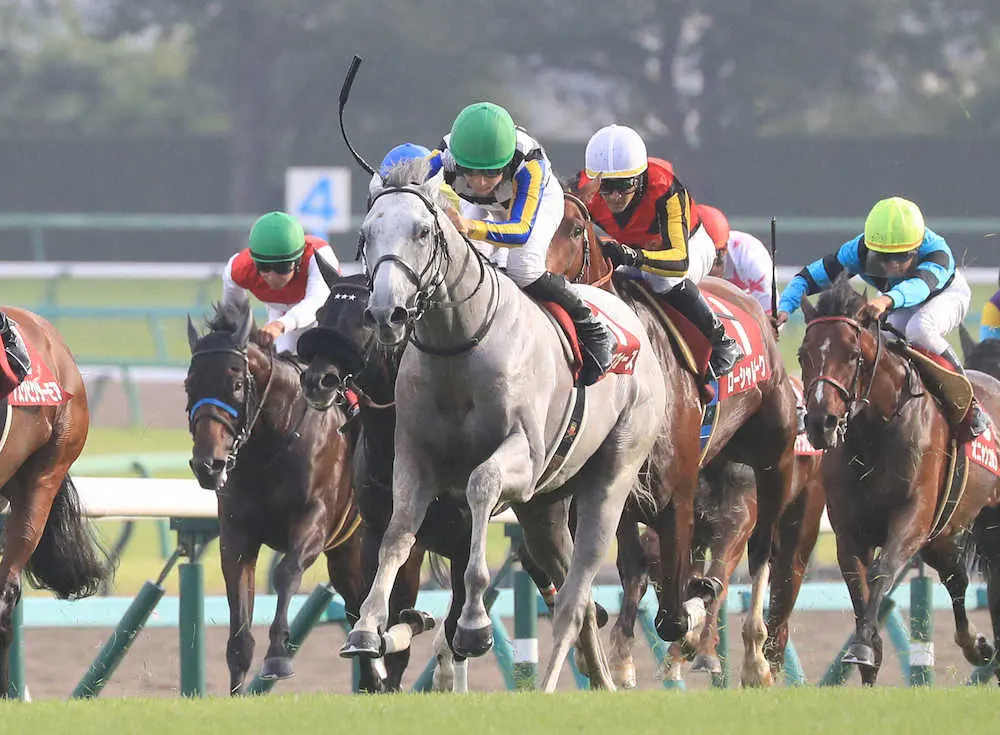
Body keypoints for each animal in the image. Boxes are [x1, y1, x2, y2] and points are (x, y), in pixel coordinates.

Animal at [340, 158, 668, 692]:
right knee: (574, 600)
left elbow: (480, 485)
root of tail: (628, 316)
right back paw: (597, 681)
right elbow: (397, 533)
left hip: (610, 479)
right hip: (544, 511)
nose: (386, 313)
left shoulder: (523, 458)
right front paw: (367, 629)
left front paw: (474, 625)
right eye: (366, 235)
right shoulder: (414, 459)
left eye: (422, 230)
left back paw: (556, 684)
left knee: (575, 597)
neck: (459, 347)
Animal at [552, 193, 816, 688]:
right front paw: (617, 661)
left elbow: (677, 611)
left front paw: (694, 624)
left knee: (763, 550)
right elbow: (634, 571)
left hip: (774, 463)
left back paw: (754, 658)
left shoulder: (678, 496)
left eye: (577, 228)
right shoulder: (617, 495)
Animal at [800, 278, 1000, 688]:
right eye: (802, 354)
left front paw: (863, 647)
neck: (872, 434)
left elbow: (882, 572)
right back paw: (976, 646)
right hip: (944, 532)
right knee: (956, 577)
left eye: (853, 355)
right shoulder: (850, 531)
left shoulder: (912, 518)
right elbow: (858, 586)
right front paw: (868, 656)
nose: (820, 422)